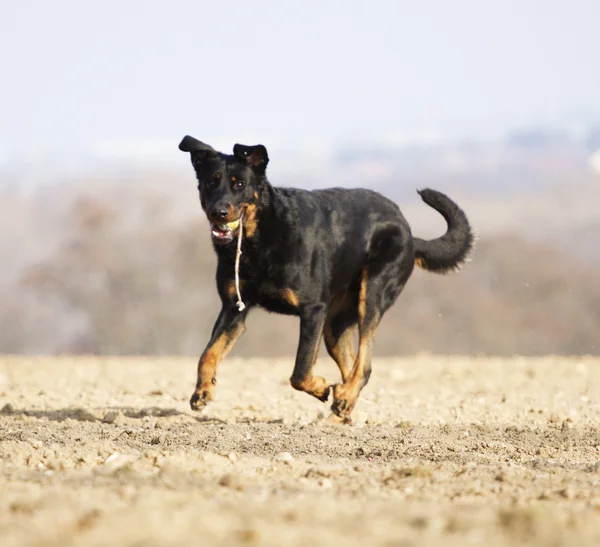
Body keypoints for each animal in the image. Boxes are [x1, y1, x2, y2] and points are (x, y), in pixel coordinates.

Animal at [178, 135, 474, 422]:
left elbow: (300, 370)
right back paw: (341, 411)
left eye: (239, 184)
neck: (258, 239)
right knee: (351, 364)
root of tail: (410, 233)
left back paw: (342, 399)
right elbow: (207, 354)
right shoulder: (234, 308)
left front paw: (320, 387)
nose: (219, 211)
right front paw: (202, 392)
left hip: (371, 295)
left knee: (364, 364)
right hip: (335, 325)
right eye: (210, 182)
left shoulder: (313, 309)